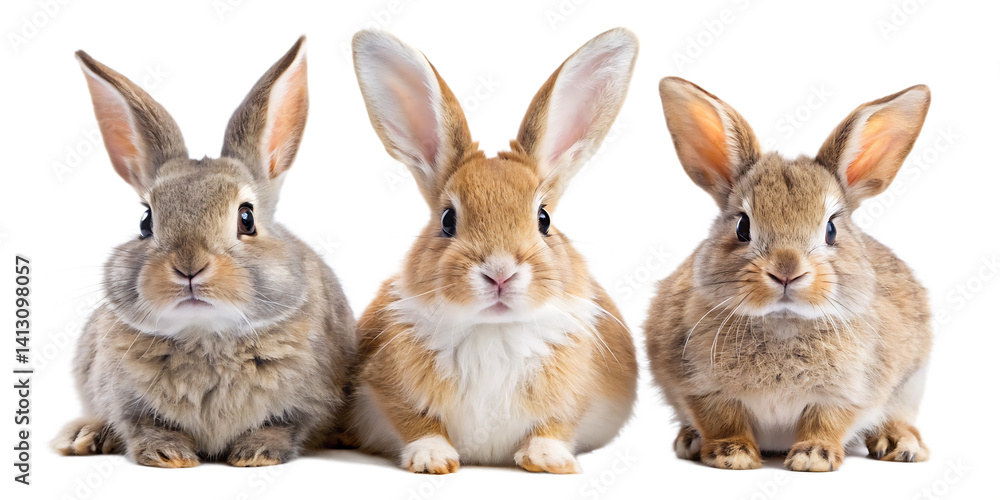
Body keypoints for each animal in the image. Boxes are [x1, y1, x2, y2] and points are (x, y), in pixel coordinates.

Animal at [51, 37, 357, 468]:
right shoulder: (124, 401)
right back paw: (83, 436)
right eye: (146, 220)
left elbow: (284, 427)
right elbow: (142, 426)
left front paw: (256, 454)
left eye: (246, 218)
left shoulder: (307, 405)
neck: (207, 336)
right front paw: (169, 455)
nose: (189, 267)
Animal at [344, 28, 639, 474]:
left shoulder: (576, 398)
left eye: (544, 219)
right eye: (447, 219)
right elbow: (415, 421)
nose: (500, 272)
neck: (492, 331)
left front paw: (547, 460)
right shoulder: (385, 386)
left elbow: (556, 425)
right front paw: (433, 458)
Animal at [645, 77, 933, 472]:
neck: (782, 322)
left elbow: (826, 422)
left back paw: (901, 445)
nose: (786, 271)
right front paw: (731, 455)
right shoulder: (701, 388)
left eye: (831, 229)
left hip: (910, 385)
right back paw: (689, 441)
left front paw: (813, 457)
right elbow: (723, 419)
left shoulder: (847, 393)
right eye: (742, 226)